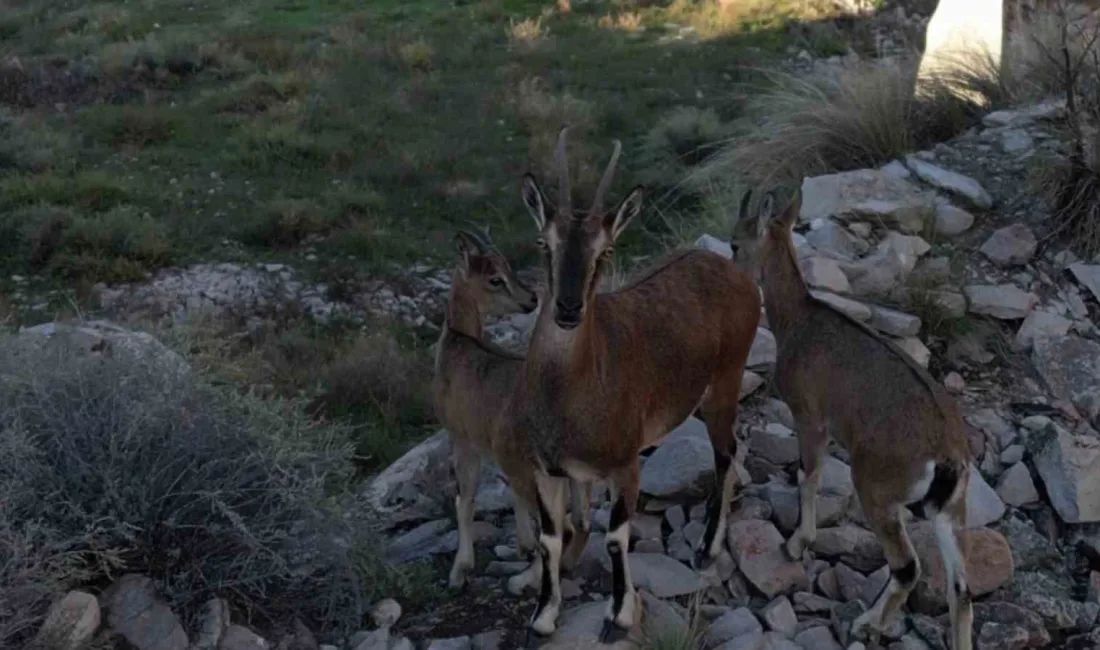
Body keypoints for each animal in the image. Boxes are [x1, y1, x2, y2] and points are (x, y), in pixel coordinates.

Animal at [429, 227, 594, 593]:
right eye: (496, 277)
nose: (531, 299)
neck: (458, 343)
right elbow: (510, 496)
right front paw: (522, 543)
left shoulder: (463, 439)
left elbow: (465, 500)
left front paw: (459, 571)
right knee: (581, 522)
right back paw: (565, 565)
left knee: (561, 527)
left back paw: (524, 581)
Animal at [510, 125, 761, 642]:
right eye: (545, 243)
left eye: (605, 250)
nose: (568, 309)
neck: (569, 395)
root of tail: (734, 270)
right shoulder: (548, 470)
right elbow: (549, 539)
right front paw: (543, 616)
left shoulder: (625, 465)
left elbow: (616, 537)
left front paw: (619, 615)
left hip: (726, 382)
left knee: (727, 453)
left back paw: (707, 546)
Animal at [730, 189, 972, 650]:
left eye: (735, 243)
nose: (731, 271)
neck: (799, 319)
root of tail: (948, 457)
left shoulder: (810, 417)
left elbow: (808, 475)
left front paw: (797, 544)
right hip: (951, 511)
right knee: (961, 589)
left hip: (875, 488)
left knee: (907, 567)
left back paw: (867, 624)